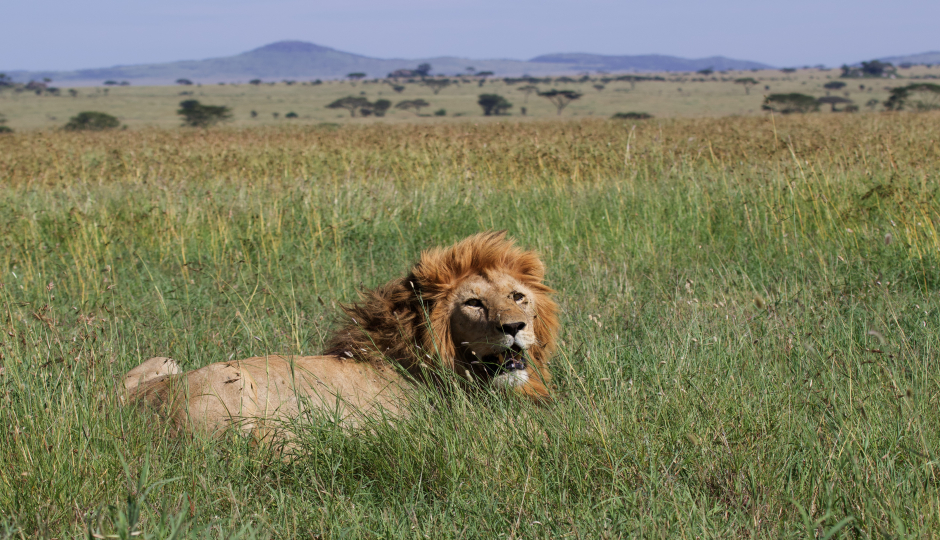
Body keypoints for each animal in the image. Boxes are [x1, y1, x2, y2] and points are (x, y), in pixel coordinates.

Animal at [119, 232, 560, 438]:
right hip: (234, 387)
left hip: (163, 362)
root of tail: (125, 410)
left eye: (517, 297)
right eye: (473, 304)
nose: (515, 328)